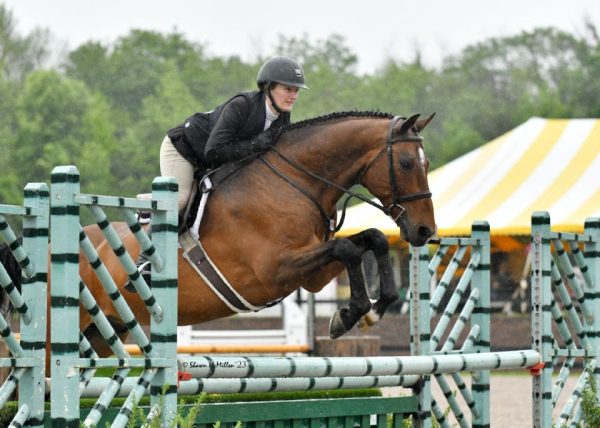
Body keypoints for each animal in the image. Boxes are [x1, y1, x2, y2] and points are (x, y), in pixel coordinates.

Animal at [0, 110, 434, 358]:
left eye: (425, 163)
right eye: (408, 163)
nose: (424, 230)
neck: (293, 182)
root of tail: (45, 251)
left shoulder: (310, 274)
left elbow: (369, 239)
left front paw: (374, 308)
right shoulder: (275, 271)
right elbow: (347, 248)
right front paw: (348, 315)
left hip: (104, 333)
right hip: (57, 334)